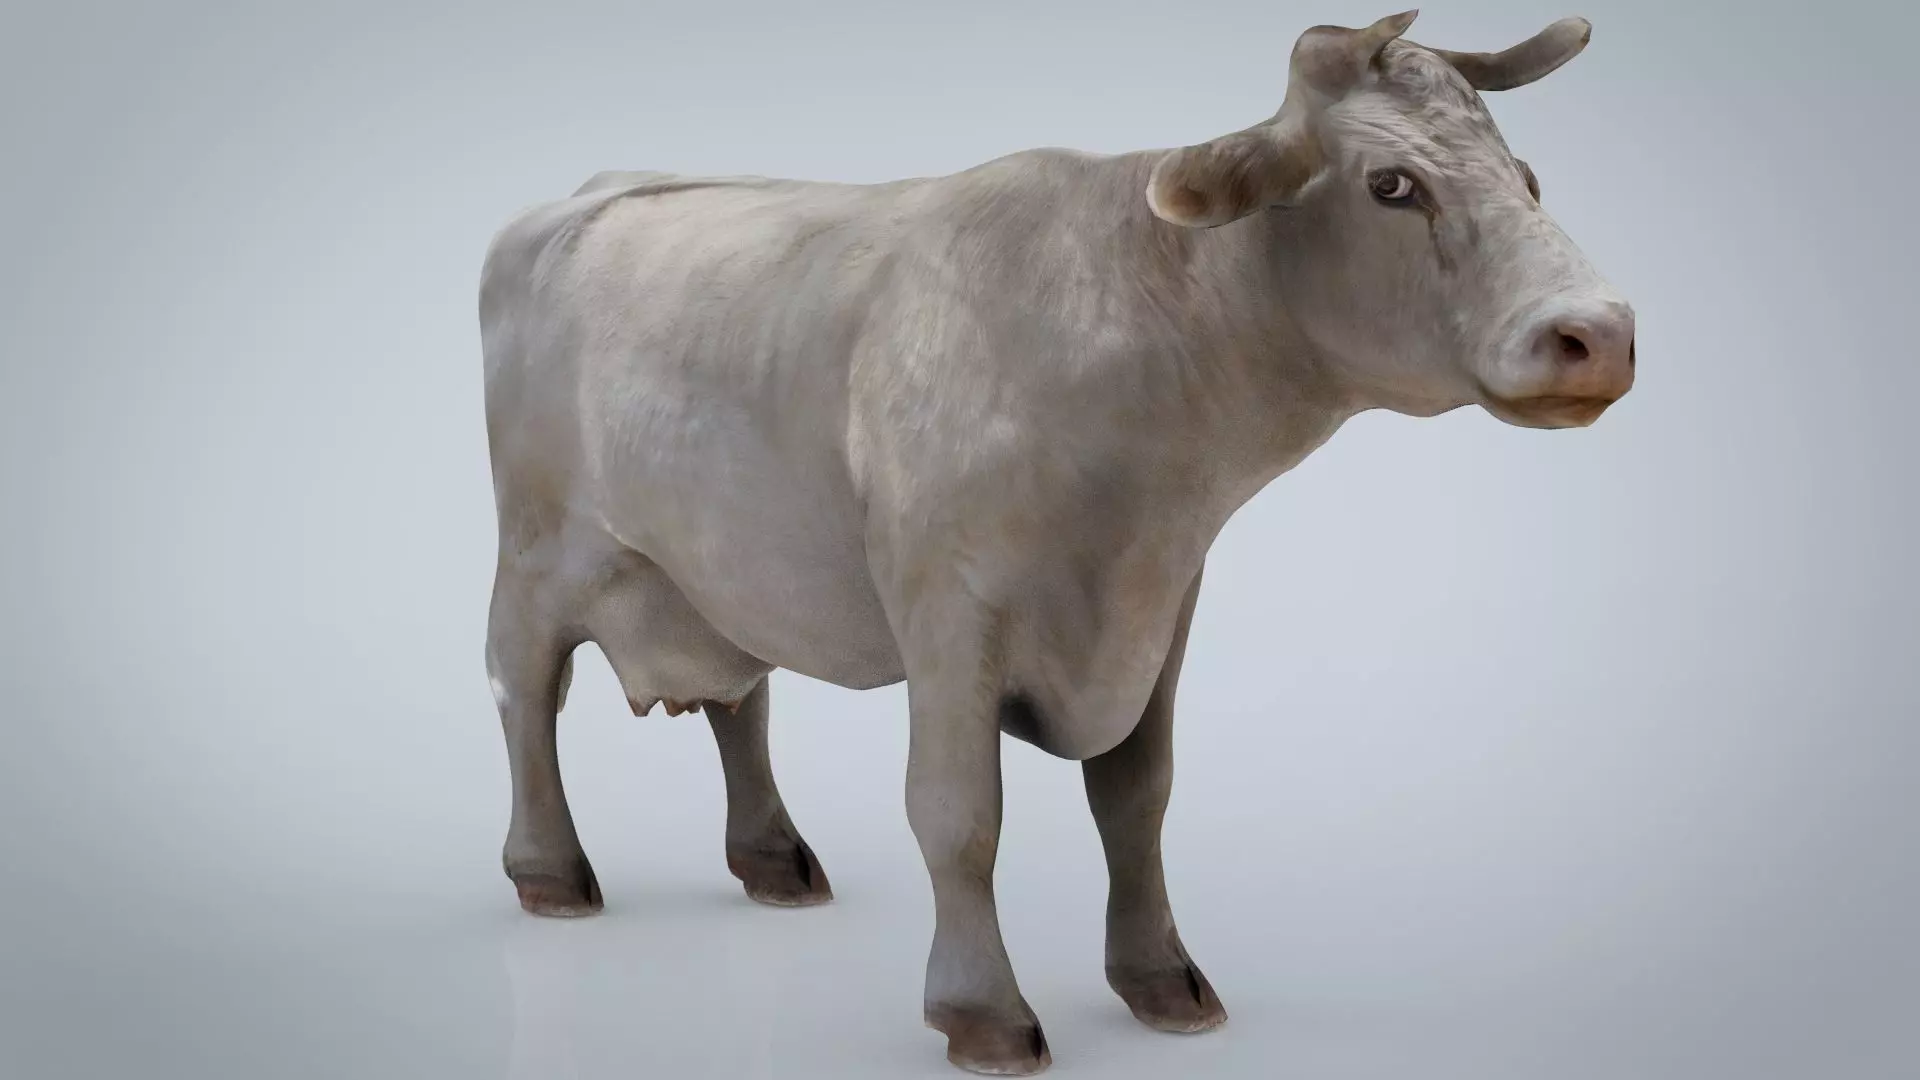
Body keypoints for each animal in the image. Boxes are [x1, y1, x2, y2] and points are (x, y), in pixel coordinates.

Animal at [476, 10, 1636, 1074]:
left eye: (1528, 179)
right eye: (1392, 185)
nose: (1601, 333)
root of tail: (575, 198)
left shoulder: (1164, 601)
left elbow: (1137, 797)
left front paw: (1162, 977)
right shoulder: (949, 608)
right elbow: (958, 813)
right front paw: (981, 1011)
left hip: (715, 563)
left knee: (739, 696)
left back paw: (772, 857)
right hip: (535, 549)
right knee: (524, 689)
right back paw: (550, 872)